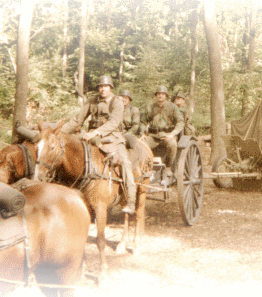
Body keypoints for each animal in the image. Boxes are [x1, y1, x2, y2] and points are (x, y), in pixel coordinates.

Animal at [34, 122, 154, 272]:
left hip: (142, 191)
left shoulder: (100, 208)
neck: (88, 167)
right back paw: (122, 244)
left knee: (139, 214)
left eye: (52, 147)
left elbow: (100, 240)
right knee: (127, 214)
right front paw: (82, 269)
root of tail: (145, 145)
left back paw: (137, 245)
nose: (38, 176)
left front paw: (103, 271)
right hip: (124, 196)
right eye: (36, 147)